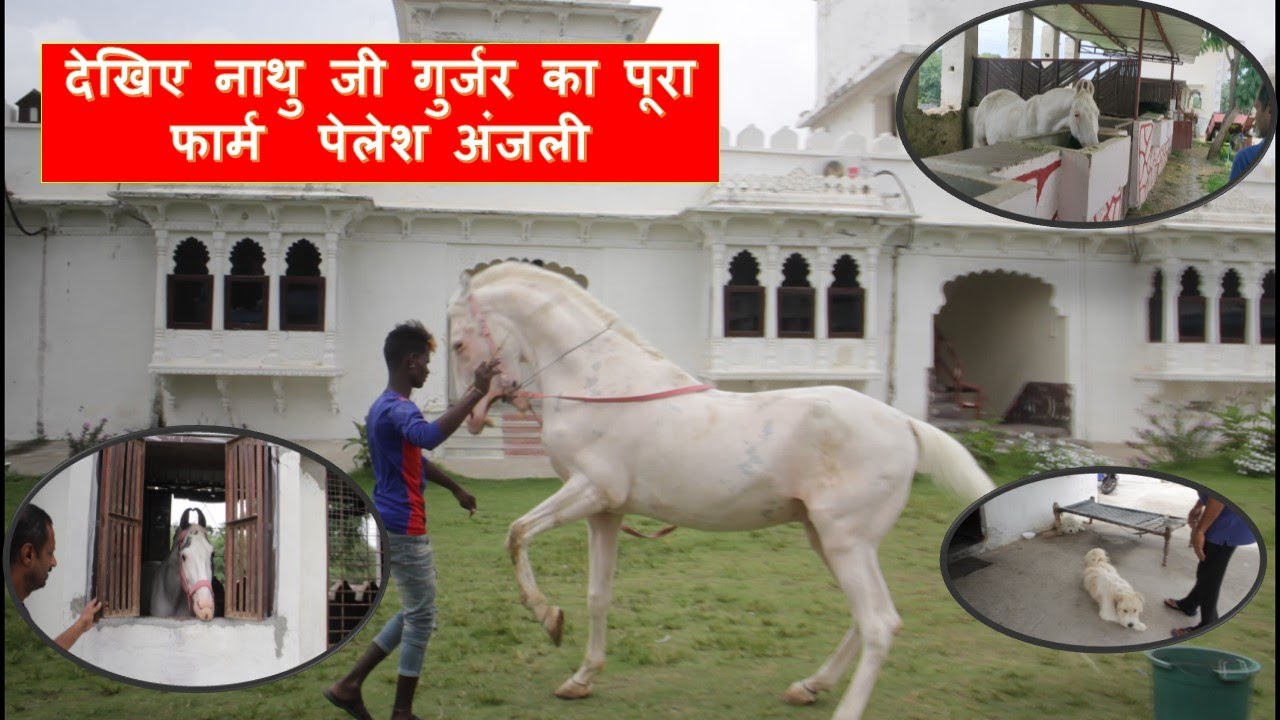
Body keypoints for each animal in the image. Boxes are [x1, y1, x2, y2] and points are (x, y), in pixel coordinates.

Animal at [447, 262, 995, 720]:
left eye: (455, 345)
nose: (473, 416)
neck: (600, 384)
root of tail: (904, 423)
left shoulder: (588, 490)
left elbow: (517, 533)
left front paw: (547, 618)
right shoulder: (605, 511)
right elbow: (598, 595)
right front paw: (581, 678)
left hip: (845, 542)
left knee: (879, 623)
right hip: (830, 539)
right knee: (870, 619)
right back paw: (809, 686)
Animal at [972, 78, 1101, 149]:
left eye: (1097, 113)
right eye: (1076, 114)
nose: (1093, 145)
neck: (1040, 121)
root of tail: (989, 95)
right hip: (981, 140)